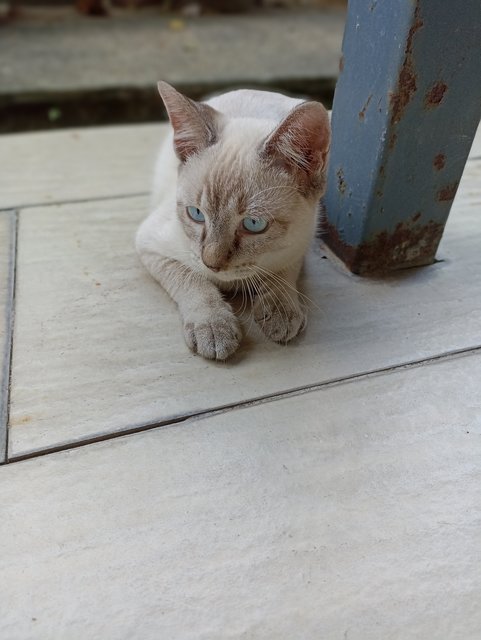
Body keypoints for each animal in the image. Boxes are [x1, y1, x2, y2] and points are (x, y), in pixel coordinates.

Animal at [136, 81, 330, 360]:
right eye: (196, 214)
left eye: (253, 225)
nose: (212, 264)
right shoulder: (150, 244)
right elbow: (192, 279)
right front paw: (213, 327)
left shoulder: (299, 243)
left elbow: (284, 273)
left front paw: (281, 310)